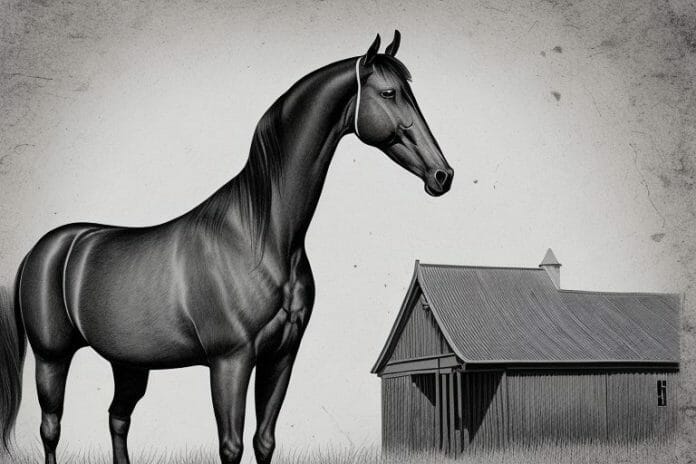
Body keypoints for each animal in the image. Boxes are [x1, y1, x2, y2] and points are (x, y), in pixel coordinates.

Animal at [0, 30, 453, 464]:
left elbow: (264, 442)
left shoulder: (280, 358)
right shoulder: (230, 361)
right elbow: (231, 446)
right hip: (52, 358)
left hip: (128, 364)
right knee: (51, 429)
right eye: (389, 93)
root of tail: (42, 250)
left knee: (117, 419)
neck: (261, 237)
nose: (442, 175)